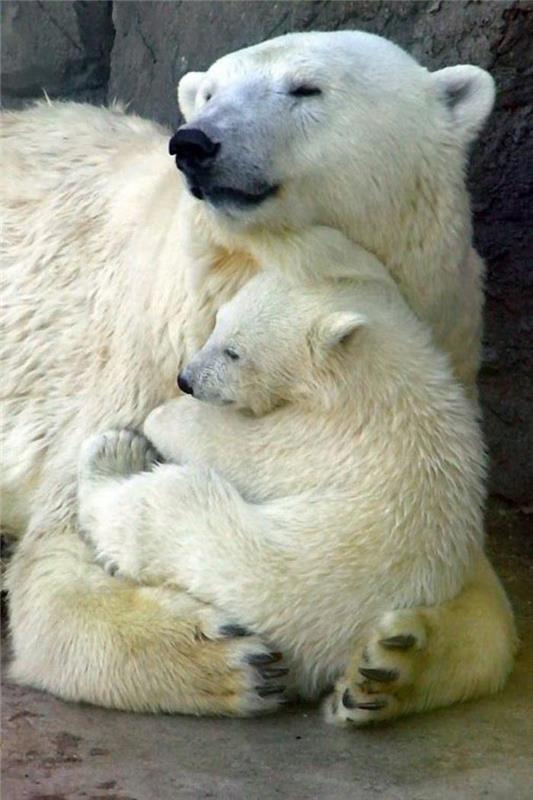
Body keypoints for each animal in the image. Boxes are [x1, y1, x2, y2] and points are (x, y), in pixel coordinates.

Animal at [1, 32, 512, 720]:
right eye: (209, 92)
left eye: (305, 88)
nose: (194, 143)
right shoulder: (148, 350)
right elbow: (55, 564)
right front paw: (227, 659)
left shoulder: (440, 343)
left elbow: (478, 593)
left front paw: (393, 658)